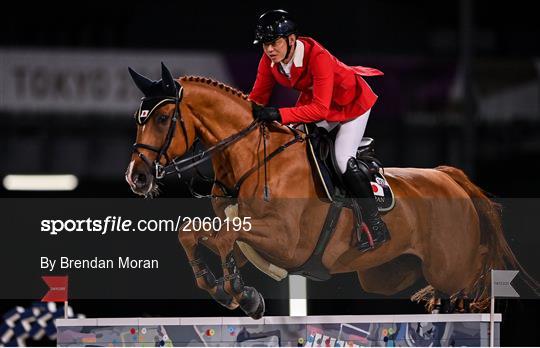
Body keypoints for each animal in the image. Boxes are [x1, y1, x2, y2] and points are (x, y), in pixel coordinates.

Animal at [125, 64, 536, 320]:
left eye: (163, 118)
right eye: (138, 119)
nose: (137, 177)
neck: (250, 159)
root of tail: (448, 177)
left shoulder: (286, 241)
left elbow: (224, 237)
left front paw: (239, 293)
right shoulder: (246, 239)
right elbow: (195, 234)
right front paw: (225, 289)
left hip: (450, 266)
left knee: (473, 274)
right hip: (388, 275)